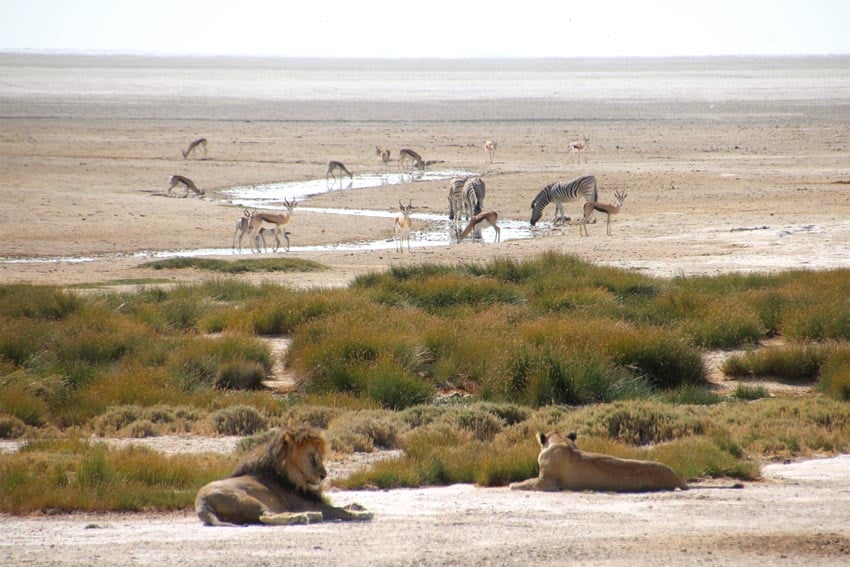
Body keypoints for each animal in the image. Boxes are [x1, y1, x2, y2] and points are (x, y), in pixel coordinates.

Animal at [195, 426, 373, 526]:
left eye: (322, 458)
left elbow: (343, 506)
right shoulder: (304, 503)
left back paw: (310, 516)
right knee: (266, 516)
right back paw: (306, 516)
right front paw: (361, 513)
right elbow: (338, 510)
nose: (324, 476)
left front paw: (358, 506)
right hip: (246, 500)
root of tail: (201, 502)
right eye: (312, 457)